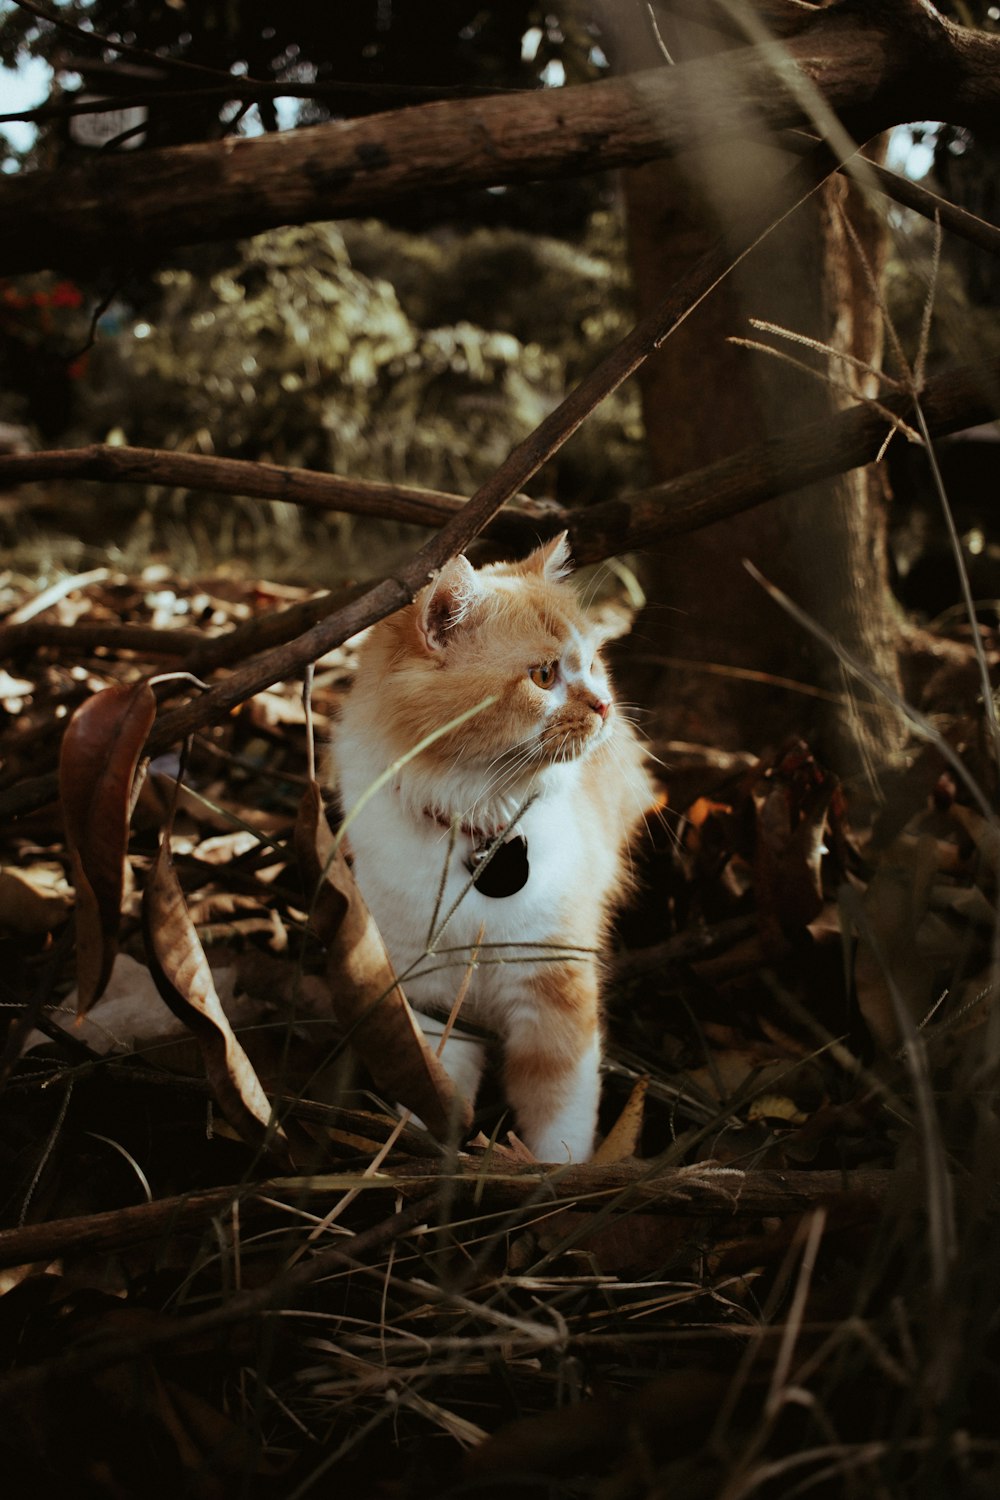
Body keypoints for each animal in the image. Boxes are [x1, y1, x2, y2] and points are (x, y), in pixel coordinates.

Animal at [332, 534, 653, 1164]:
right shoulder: (432, 1004)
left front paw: (554, 1175)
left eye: (592, 663)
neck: (480, 829)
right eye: (544, 675)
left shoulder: (552, 990)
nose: (605, 706)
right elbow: (434, 1094)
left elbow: (560, 1114)